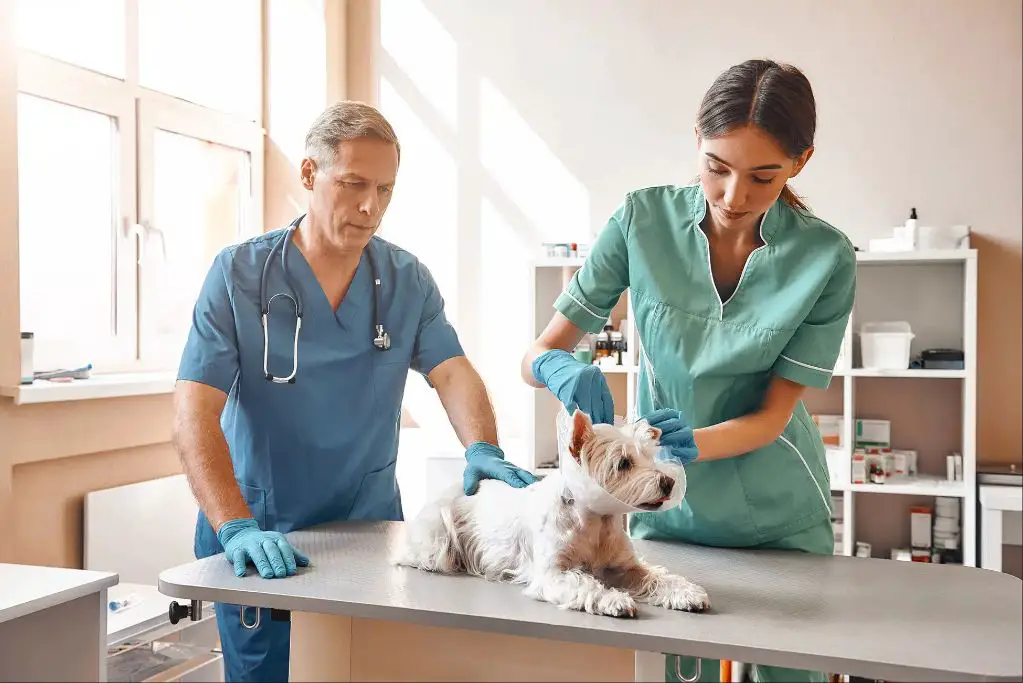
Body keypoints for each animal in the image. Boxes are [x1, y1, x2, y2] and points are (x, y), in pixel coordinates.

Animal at [390, 408, 712, 621]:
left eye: (650, 456)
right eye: (622, 463)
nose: (669, 482)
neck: (595, 522)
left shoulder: (625, 567)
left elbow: (658, 577)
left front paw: (688, 594)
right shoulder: (552, 573)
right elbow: (583, 583)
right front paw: (614, 600)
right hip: (438, 536)